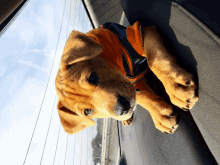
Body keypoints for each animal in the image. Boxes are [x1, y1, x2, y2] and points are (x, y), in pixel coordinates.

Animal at [55, 21, 199, 135]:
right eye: (88, 111)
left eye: (92, 77)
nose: (122, 109)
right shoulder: (135, 84)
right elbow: (143, 97)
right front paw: (160, 114)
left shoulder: (142, 33)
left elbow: (155, 60)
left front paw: (176, 87)